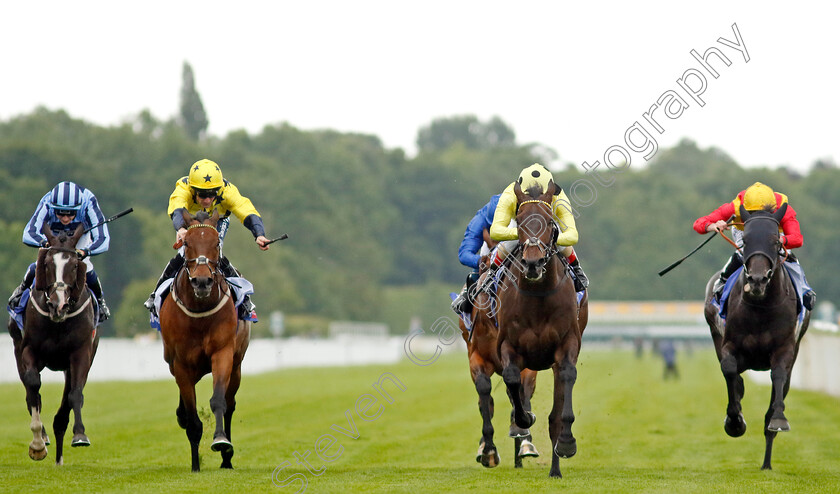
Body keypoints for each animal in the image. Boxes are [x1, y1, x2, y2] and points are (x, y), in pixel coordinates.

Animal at [7, 223, 99, 464]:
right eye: (47, 264)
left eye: (75, 265)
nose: (59, 304)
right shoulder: (29, 349)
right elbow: (33, 386)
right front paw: (38, 443)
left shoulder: (81, 353)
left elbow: (75, 394)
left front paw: (80, 435)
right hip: (17, 347)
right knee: (31, 392)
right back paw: (45, 438)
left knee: (66, 400)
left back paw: (59, 453)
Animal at [158, 208, 249, 470]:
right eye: (187, 243)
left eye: (216, 243)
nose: (201, 281)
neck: (199, 312)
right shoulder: (181, 363)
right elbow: (192, 419)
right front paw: (195, 465)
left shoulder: (222, 353)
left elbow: (219, 401)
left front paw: (221, 441)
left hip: (237, 366)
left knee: (230, 404)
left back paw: (227, 458)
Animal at [460, 245, 540, 468]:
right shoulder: (477, 358)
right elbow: (485, 395)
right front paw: (488, 450)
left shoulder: (525, 362)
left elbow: (522, 392)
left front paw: (524, 438)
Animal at [704, 204, 812, 470]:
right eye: (746, 241)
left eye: (775, 240)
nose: (757, 280)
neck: (761, 306)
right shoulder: (730, 344)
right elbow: (729, 370)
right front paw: (735, 422)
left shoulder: (785, 348)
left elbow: (779, 377)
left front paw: (778, 419)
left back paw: (767, 463)